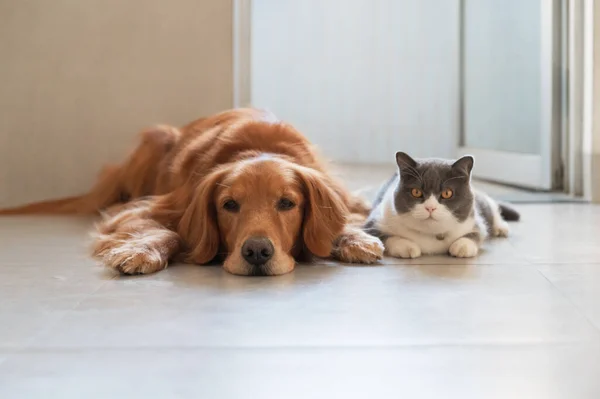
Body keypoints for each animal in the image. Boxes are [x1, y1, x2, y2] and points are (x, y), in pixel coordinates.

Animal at [0, 109, 382, 278]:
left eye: (287, 203)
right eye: (229, 205)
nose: (257, 252)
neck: (258, 148)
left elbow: (349, 219)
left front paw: (356, 240)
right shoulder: (143, 211)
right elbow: (165, 231)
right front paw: (141, 251)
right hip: (155, 138)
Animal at [364, 151, 516, 260]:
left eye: (447, 193)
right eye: (416, 192)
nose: (430, 207)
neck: (431, 235)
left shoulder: (475, 222)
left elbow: (477, 234)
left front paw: (462, 246)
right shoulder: (372, 223)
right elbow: (385, 238)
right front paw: (407, 246)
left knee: (491, 204)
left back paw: (501, 227)